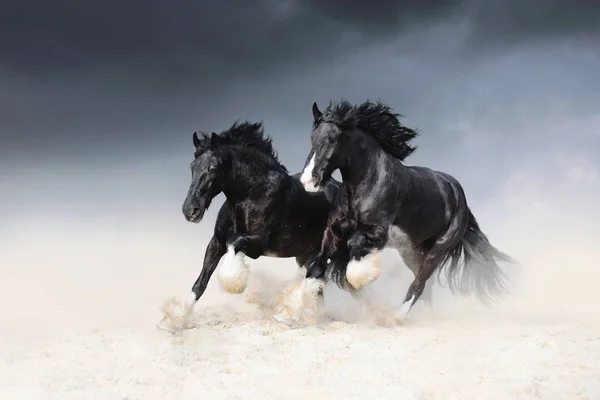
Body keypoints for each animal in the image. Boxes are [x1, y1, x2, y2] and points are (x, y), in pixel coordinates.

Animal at [157, 120, 342, 332]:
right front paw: (174, 321)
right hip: (305, 254)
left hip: (327, 248)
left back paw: (289, 316)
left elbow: (234, 243)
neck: (251, 193)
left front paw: (233, 283)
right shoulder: (216, 242)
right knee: (317, 284)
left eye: (212, 168)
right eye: (192, 166)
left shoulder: (257, 244)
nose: (190, 210)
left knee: (316, 274)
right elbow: (200, 283)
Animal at [286, 101, 516, 324]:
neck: (366, 183)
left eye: (333, 139)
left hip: (437, 250)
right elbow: (316, 268)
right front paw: (293, 313)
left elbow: (354, 246)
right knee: (426, 284)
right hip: (411, 252)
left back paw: (398, 316)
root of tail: (458, 194)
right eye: (312, 138)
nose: (308, 181)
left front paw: (362, 275)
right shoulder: (333, 231)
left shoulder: (378, 233)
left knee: (419, 283)